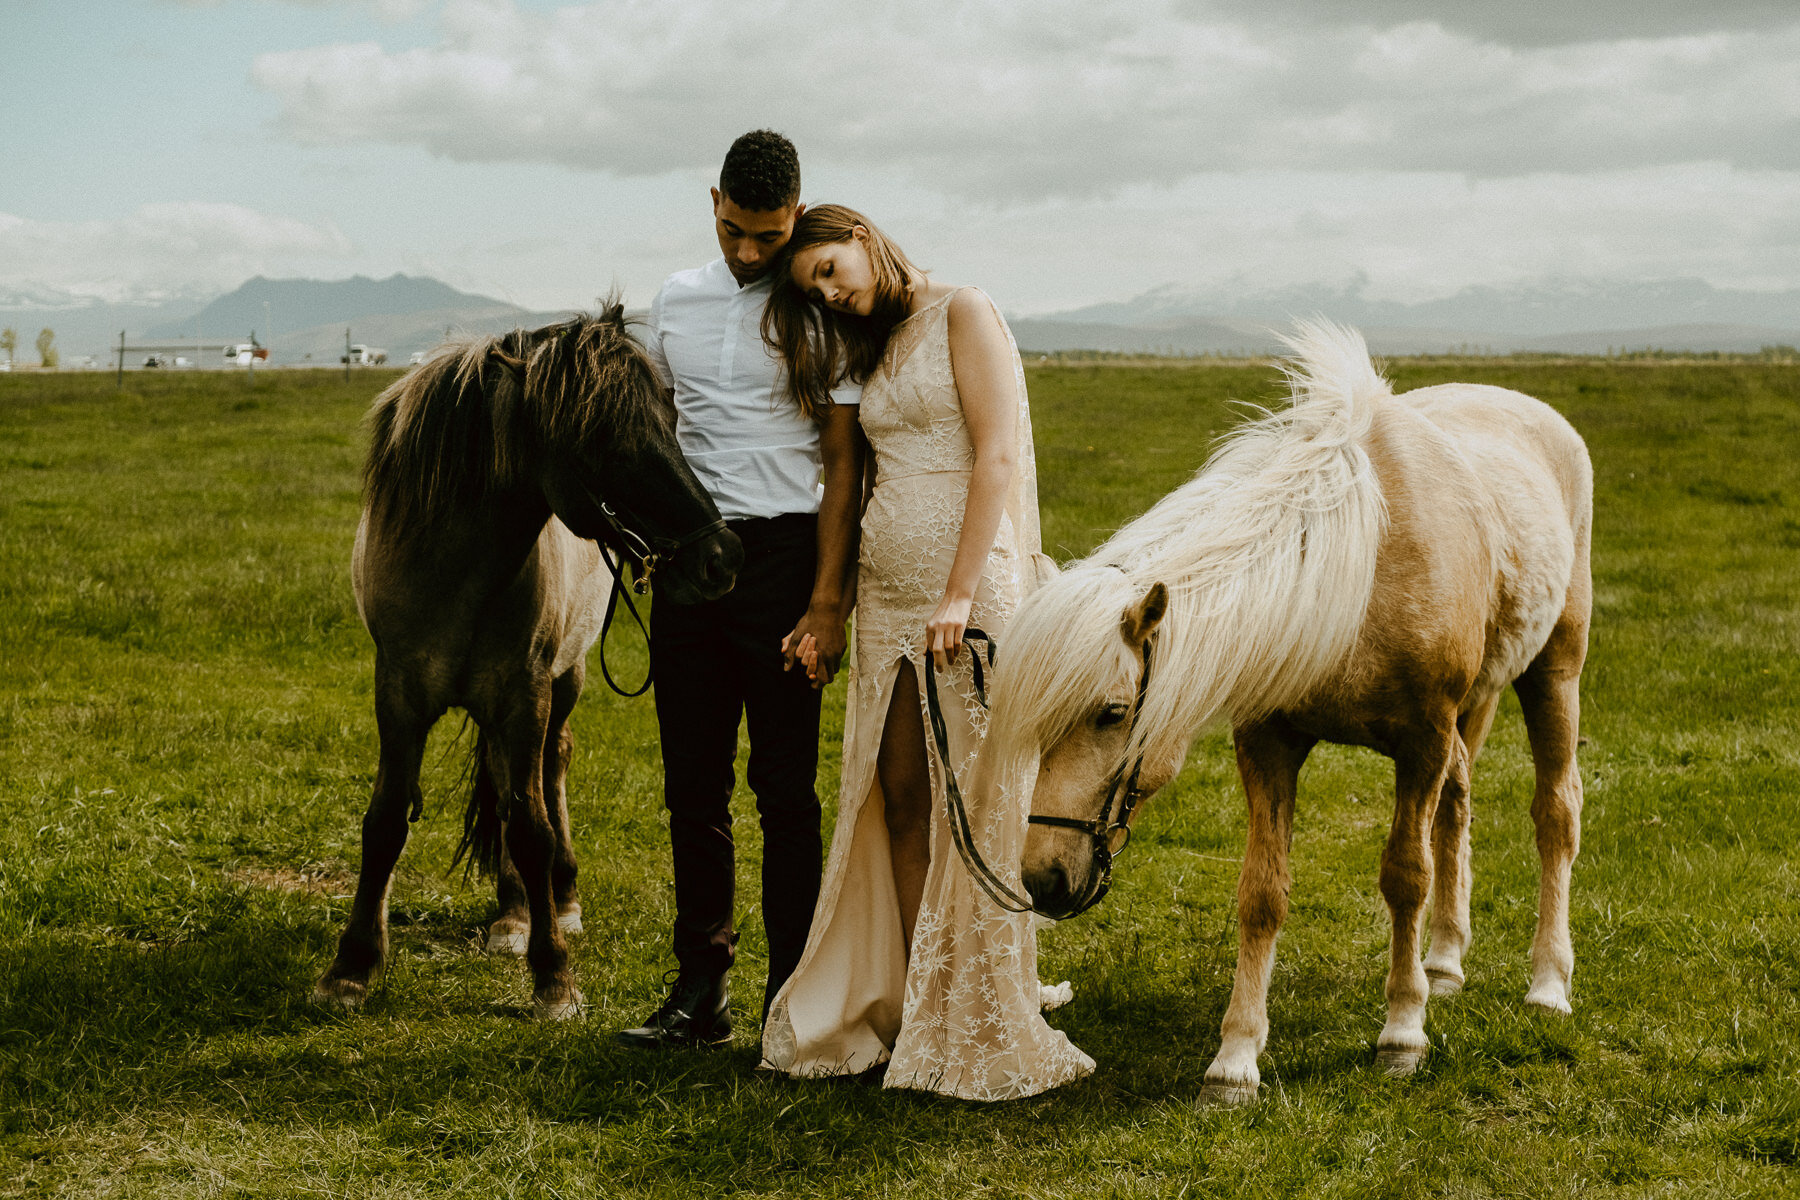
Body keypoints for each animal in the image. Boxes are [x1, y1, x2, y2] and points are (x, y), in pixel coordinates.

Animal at [318, 305, 745, 1021]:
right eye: (600, 434)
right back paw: (514, 913)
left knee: (550, 773)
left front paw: (554, 976)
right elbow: (385, 820)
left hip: (562, 684)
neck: (454, 573)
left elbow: (533, 827)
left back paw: (555, 904)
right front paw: (352, 966)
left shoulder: (526, 695)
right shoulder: (399, 695)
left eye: (669, 413)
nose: (721, 558)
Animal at [986, 322, 1591, 1108]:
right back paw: (1444, 963)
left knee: (1555, 815)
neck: (1362, 570)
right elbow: (1262, 893)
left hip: (1554, 672)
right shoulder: (1270, 744)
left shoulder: (1422, 742)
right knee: (1458, 807)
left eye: (1112, 713)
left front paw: (1402, 1032)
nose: (1041, 880)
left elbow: (1407, 877)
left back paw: (1548, 983)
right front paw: (1236, 1059)